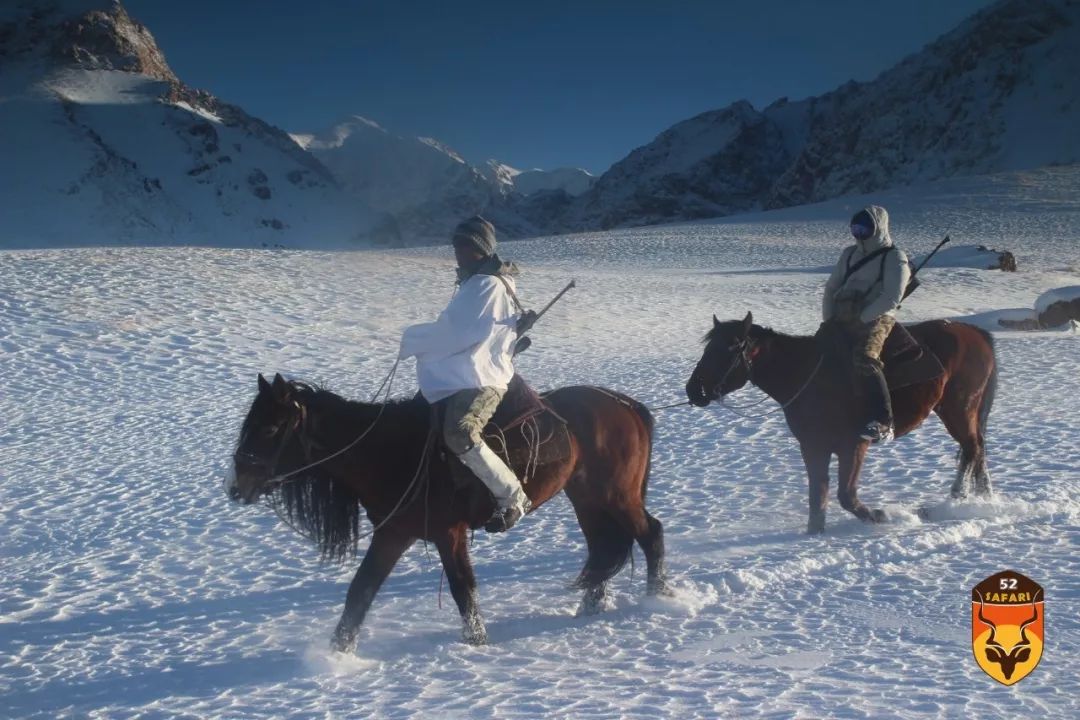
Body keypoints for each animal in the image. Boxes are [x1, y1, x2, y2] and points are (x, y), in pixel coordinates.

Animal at [228, 375, 665, 651]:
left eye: (270, 429)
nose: (237, 486)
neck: (389, 452)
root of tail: (626, 405)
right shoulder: (394, 534)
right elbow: (361, 591)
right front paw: (337, 653)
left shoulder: (449, 534)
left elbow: (463, 591)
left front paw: (477, 644)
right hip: (588, 499)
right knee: (603, 548)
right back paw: (590, 608)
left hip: (617, 496)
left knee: (650, 534)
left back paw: (659, 598)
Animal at [686, 313, 997, 533]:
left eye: (728, 349)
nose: (693, 389)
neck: (810, 375)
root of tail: (975, 333)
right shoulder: (813, 447)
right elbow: (818, 495)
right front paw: (814, 533)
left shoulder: (854, 445)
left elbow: (846, 495)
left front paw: (883, 516)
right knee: (978, 448)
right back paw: (984, 498)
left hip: (959, 409)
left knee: (971, 448)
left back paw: (955, 499)